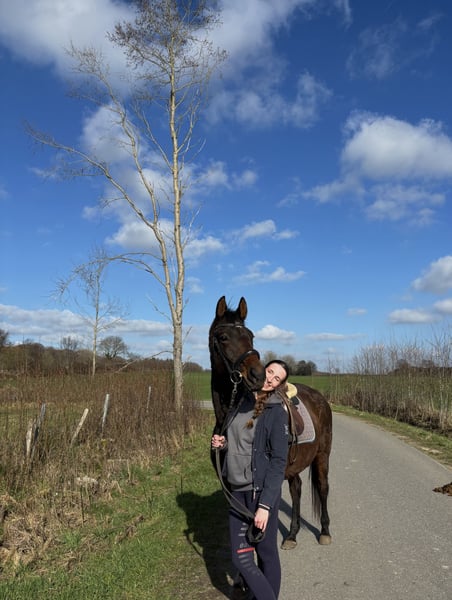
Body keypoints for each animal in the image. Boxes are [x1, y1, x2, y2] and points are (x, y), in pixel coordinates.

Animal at [209, 296, 332, 550]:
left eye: (251, 335)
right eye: (223, 337)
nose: (258, 375)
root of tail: (320, 399)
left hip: (322, 456)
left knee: (323, 487)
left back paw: (325, 531)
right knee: (296, 489)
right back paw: (292, 535)